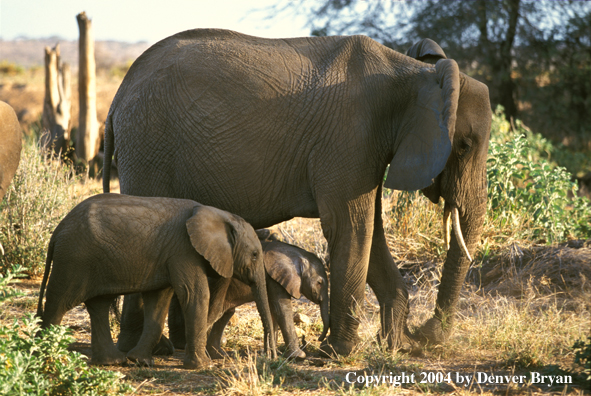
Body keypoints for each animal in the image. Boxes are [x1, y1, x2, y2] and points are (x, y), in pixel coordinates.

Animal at [35, 193, 276, 370]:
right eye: (255, 255)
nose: (270, 355)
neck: (217, 214)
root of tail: (57, 231)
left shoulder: (168, 256)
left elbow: (159, 301)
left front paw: (141, 361)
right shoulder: (183, 250)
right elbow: (194, 294)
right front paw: (203, 366)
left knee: (99, 305)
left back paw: (112, 362)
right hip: (74, 259)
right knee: (59, 302)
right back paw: (43, 355)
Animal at [104, 29, 492, 354]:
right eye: (464, 146)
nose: (427, 334)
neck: (413, 74)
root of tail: (117, 97)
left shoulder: (367, 145)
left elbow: (371, 230)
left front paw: (394, 347)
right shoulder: (350, 136)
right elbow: (351, 227)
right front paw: (339, 353)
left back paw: (166, 347)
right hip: (147, 144)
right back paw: (149, 350)